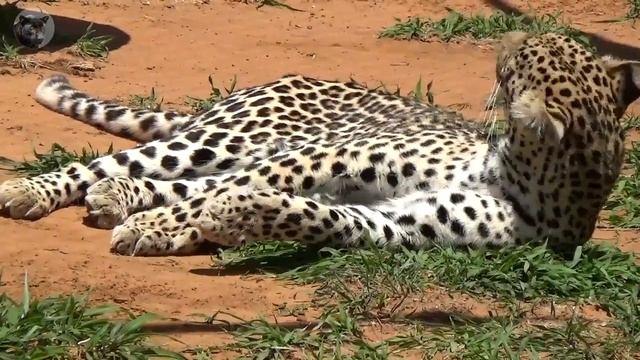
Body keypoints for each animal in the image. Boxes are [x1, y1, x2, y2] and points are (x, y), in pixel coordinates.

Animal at [1, 29, 640, 258]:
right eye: (534, 45)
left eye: (521, 59)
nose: (504, 38)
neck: (506, 170)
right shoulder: (334, 154)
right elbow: (238, 191)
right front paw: (172, 226)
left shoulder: (402, 223)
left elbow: (322, 217)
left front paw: (221, 220)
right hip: (227, 139)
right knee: (113, 163)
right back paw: (33, 190)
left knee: (171, 181)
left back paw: (124, 202)